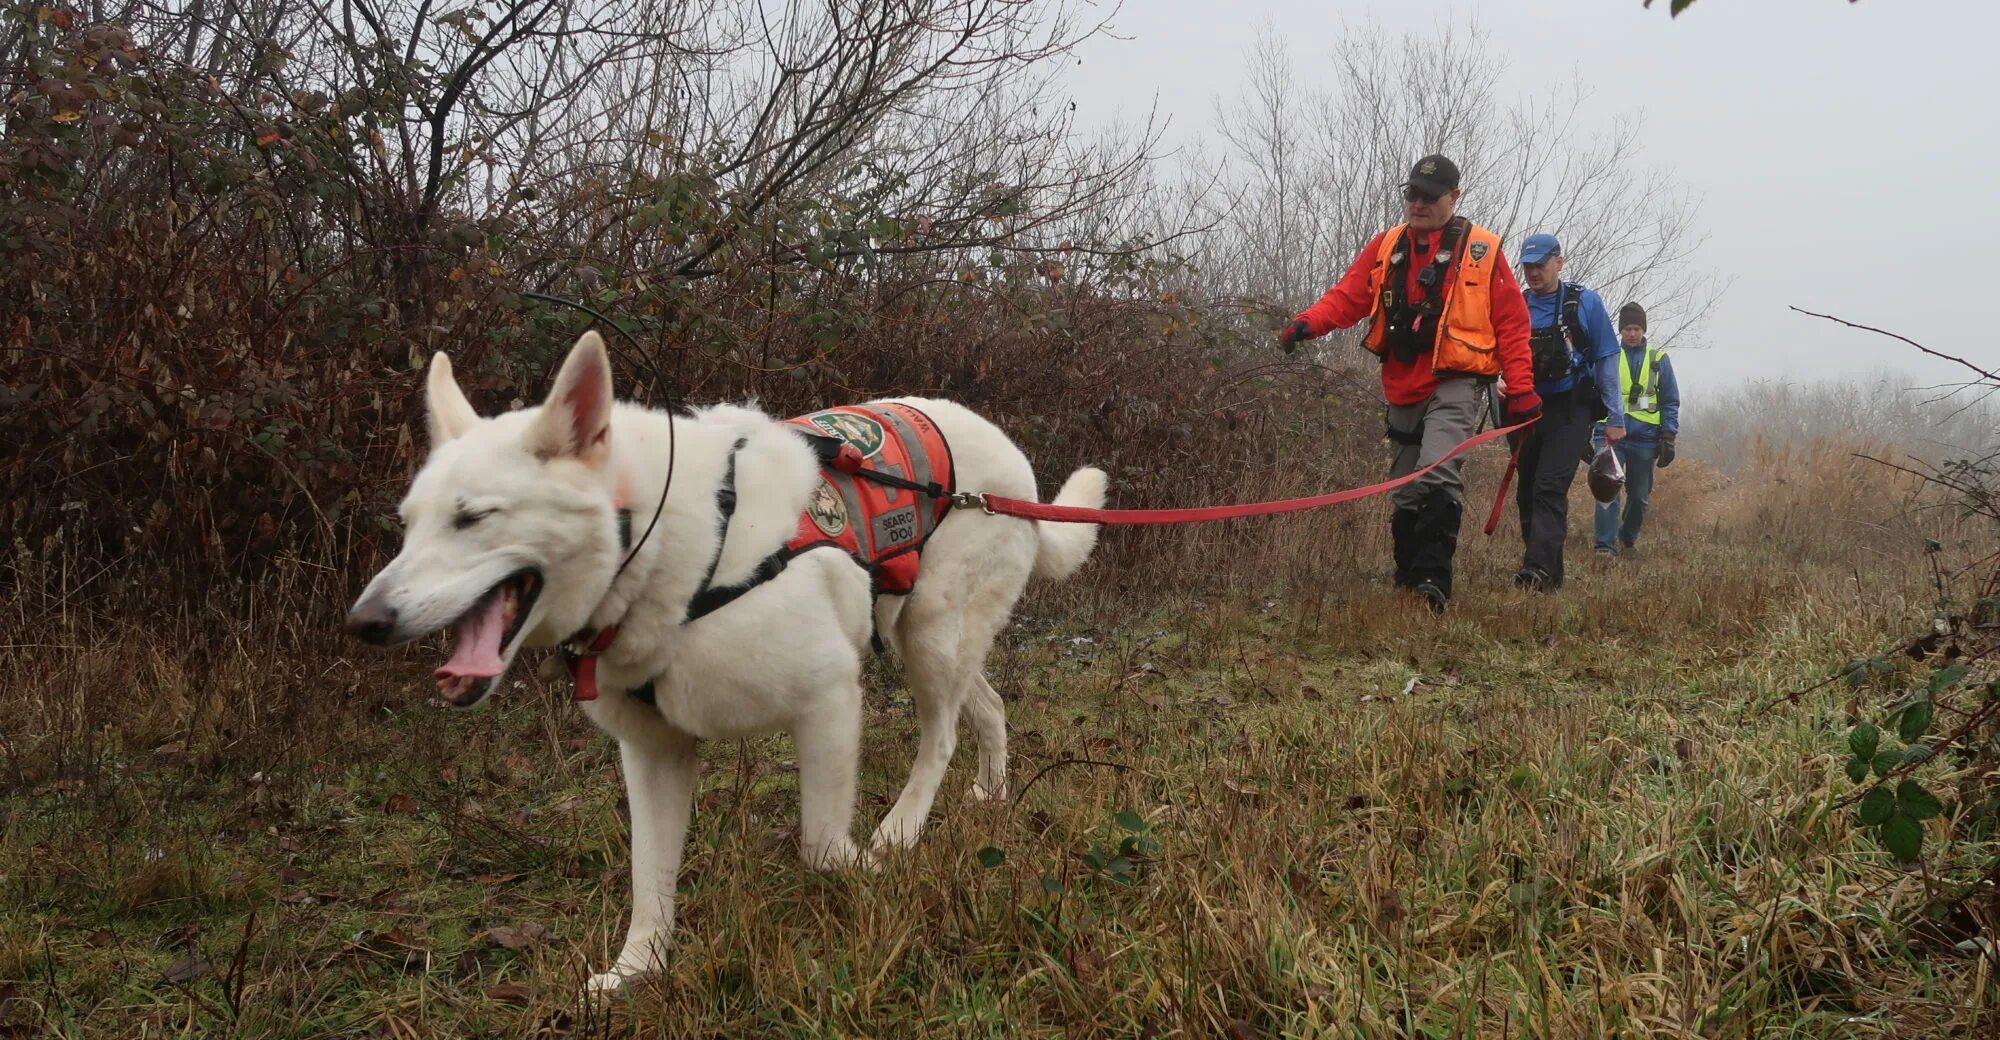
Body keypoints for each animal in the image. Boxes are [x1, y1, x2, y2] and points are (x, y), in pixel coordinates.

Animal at [338, 330, 1104, 988]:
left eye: (473, 518)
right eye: (409, 525)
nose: (364, 622)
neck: (651, 546)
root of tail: (1016, 472)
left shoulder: (829, 700)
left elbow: (820, 846)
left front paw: (860, 870)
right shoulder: (654, 756)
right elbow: (649, 882)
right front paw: (637, 972)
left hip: (932, 638)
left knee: (940, 735)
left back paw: (899, 832)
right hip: (932, 637)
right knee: (989, 707)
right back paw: (991, 794)